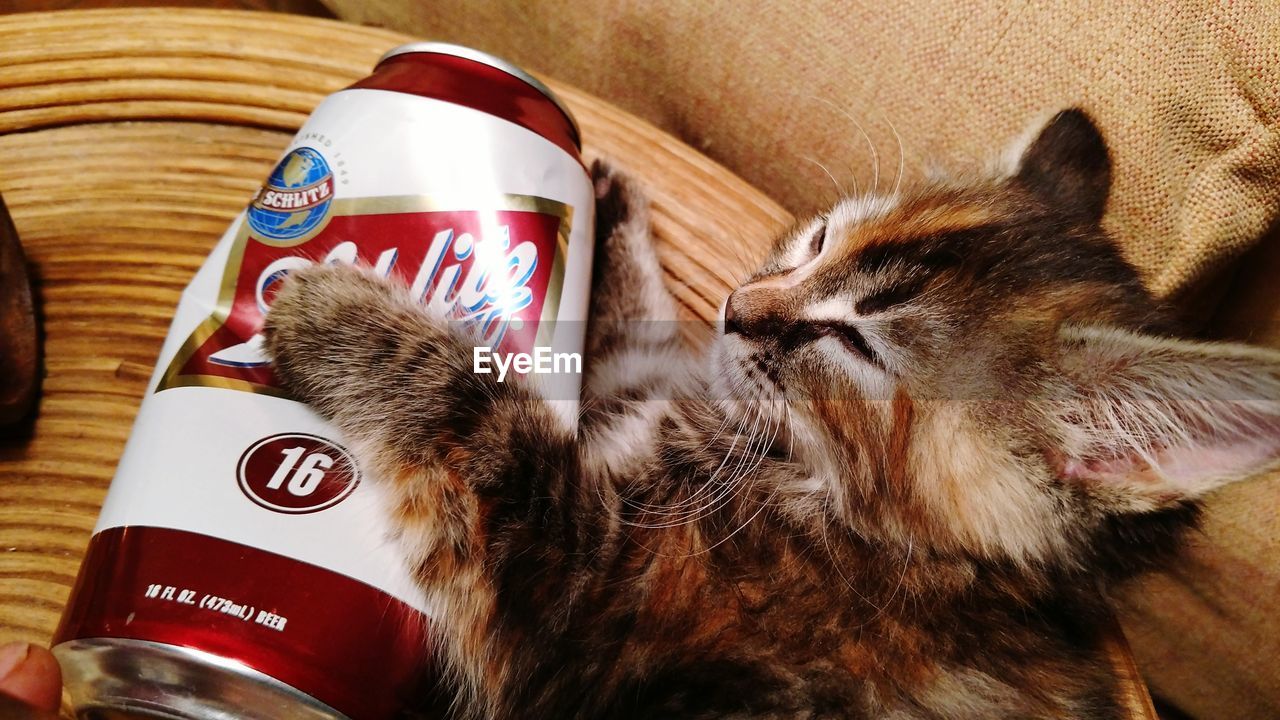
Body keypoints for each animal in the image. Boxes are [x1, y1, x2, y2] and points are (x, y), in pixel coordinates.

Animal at [262, 107, 1280, 717]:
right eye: (819, 240)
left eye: (856, 346)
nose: (736, 306)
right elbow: (634, 342)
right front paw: (612, 209)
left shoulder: (571, 583)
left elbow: (477, 417)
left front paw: (330, 311)